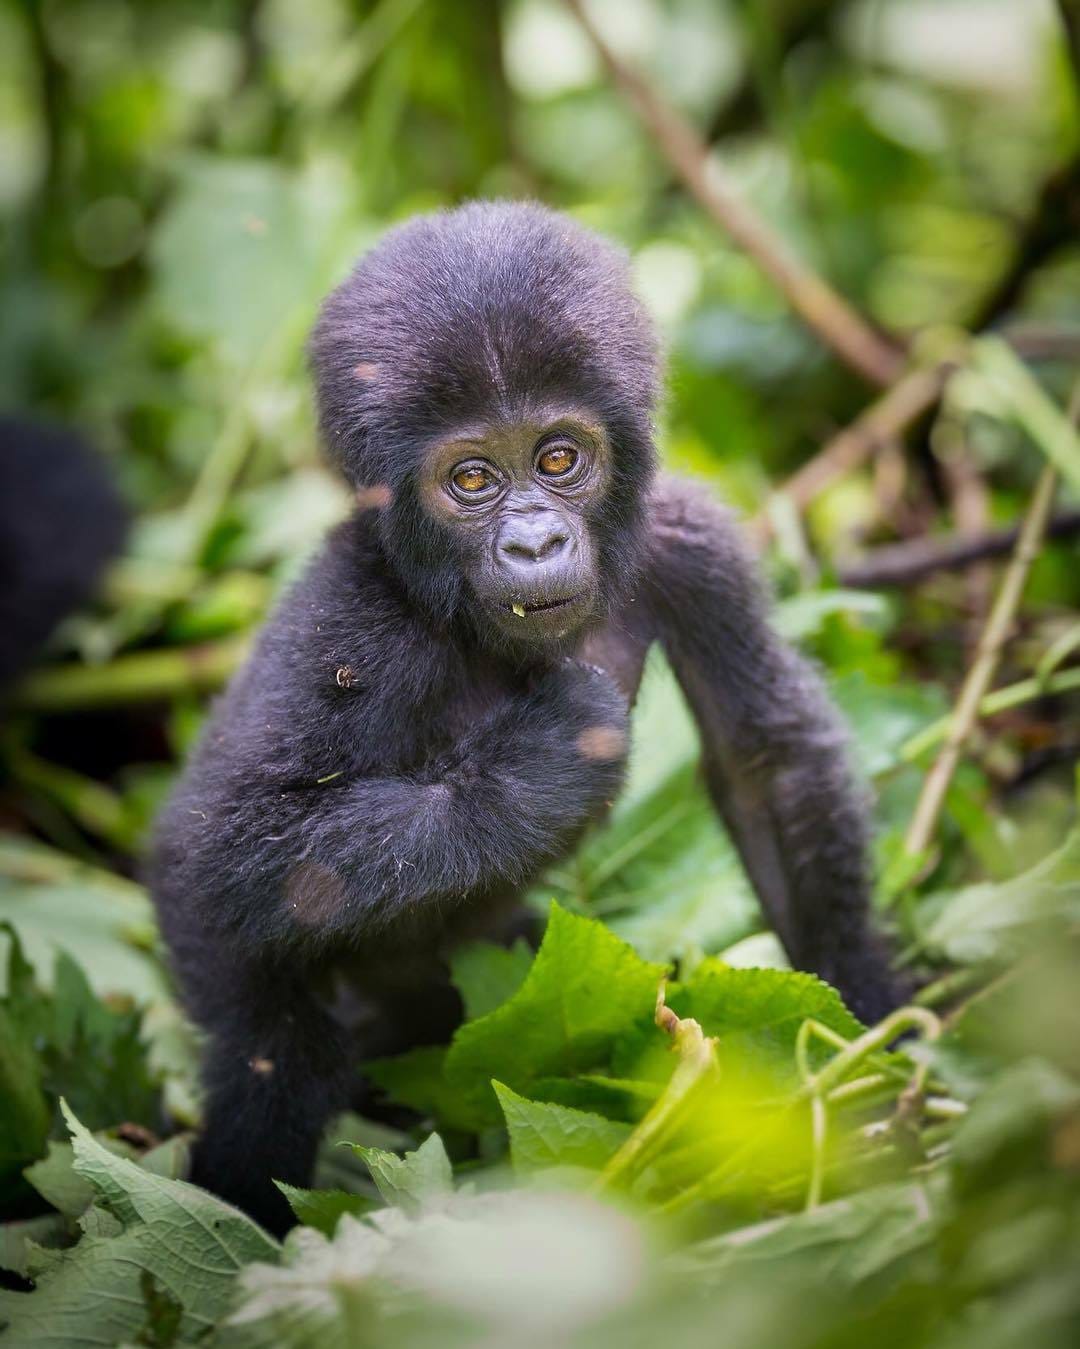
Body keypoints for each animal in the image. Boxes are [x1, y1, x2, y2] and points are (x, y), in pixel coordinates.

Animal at [149, 199, 895, 1235]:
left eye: (558, 457)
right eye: (471, 479)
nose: (535, 541)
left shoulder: (692, 542)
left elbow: (765, 765)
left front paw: (865, 1028)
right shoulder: (354, 617)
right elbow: (224, 842)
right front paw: (536, 765)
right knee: (278, 1051)